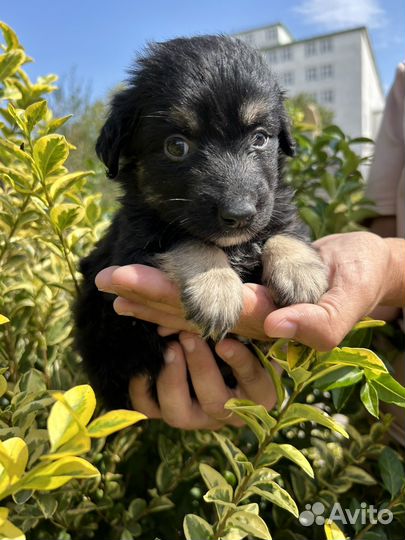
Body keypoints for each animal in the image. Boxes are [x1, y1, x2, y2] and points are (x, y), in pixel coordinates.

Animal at [75, 35, 328, 408]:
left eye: (260, 138)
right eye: (176, 146)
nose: (240, 214)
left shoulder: (275, 206)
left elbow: (282, 231)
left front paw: (300, 272)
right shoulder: (132, 245)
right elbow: (189, 239)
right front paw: (216, 289)